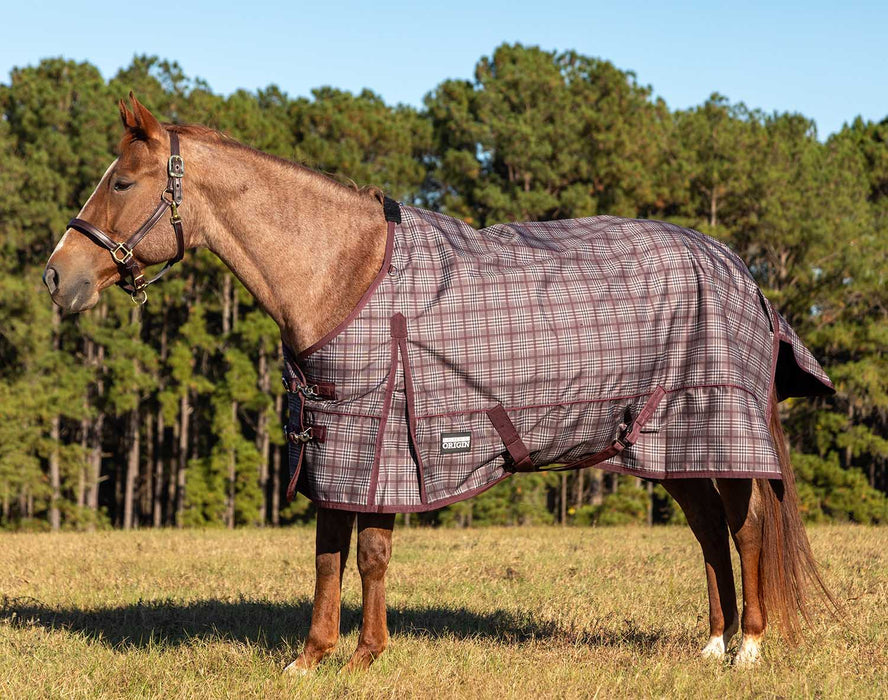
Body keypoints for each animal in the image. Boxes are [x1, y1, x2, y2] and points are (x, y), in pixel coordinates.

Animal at [43, 94, 834, 671]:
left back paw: (748, 649)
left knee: (746, 528)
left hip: (721, 431)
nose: (56, 276)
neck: (345, 271)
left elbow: (369, 554)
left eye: (122, 181)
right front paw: (311, 659)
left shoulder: (384, 442)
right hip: (670, 444)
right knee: (708, 533)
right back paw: (712, 644)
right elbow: (329, 551)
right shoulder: (336, 441)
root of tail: (744, 275)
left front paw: (364, 657)